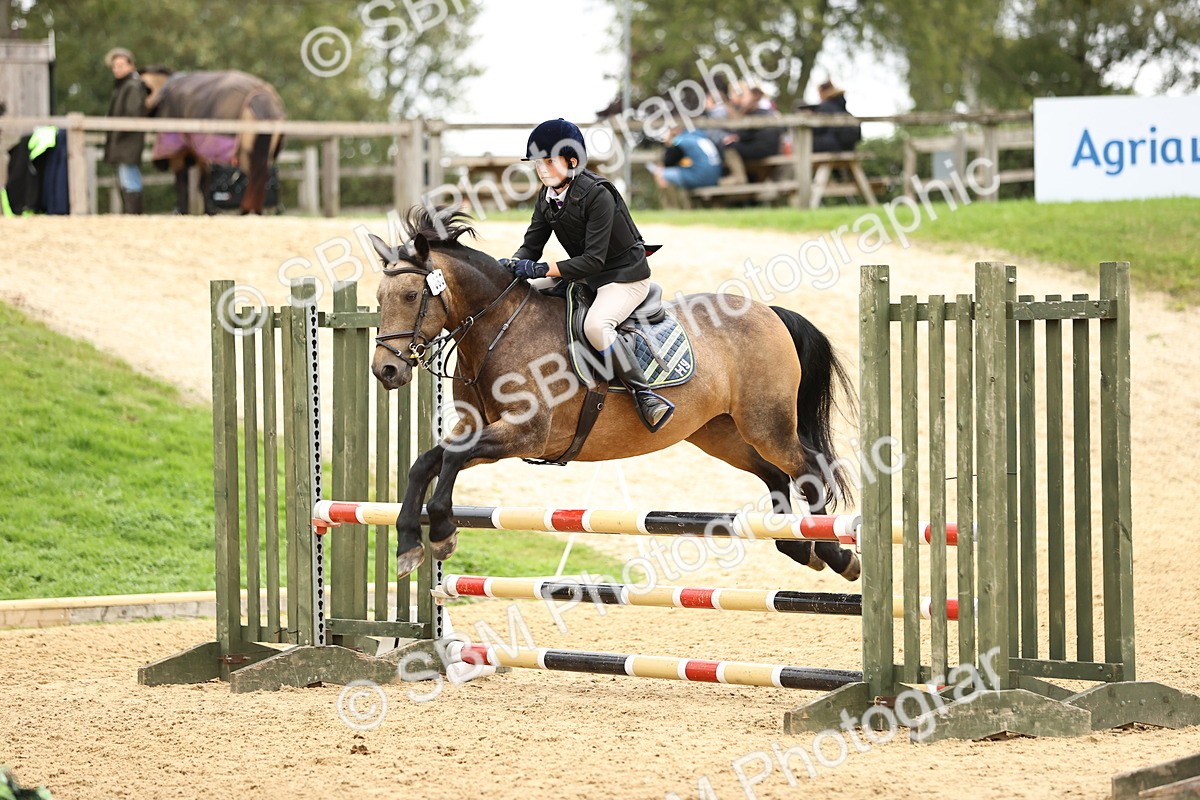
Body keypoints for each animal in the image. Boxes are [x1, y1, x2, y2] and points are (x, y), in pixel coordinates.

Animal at [140, 68, 285, 215]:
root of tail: (262, 98)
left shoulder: (179, 153)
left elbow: (182, 182)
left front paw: (182, 210)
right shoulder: (201, 153)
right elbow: (204, 182)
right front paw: (208, 210)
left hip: (245, 154)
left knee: (253, 180)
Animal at [371, 208, 860, 582]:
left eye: (411, 294)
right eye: (378, 298)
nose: (385, 370)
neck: (498, 331)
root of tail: (768, 311)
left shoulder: (526, 433)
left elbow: (449, 460)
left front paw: (442, 531)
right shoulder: (479, 429)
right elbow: (426, 463)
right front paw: (410, 544)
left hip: (765, 423)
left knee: (808, 468)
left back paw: (835, 553)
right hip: (720, 433)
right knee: (775, 475)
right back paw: (798, 547)